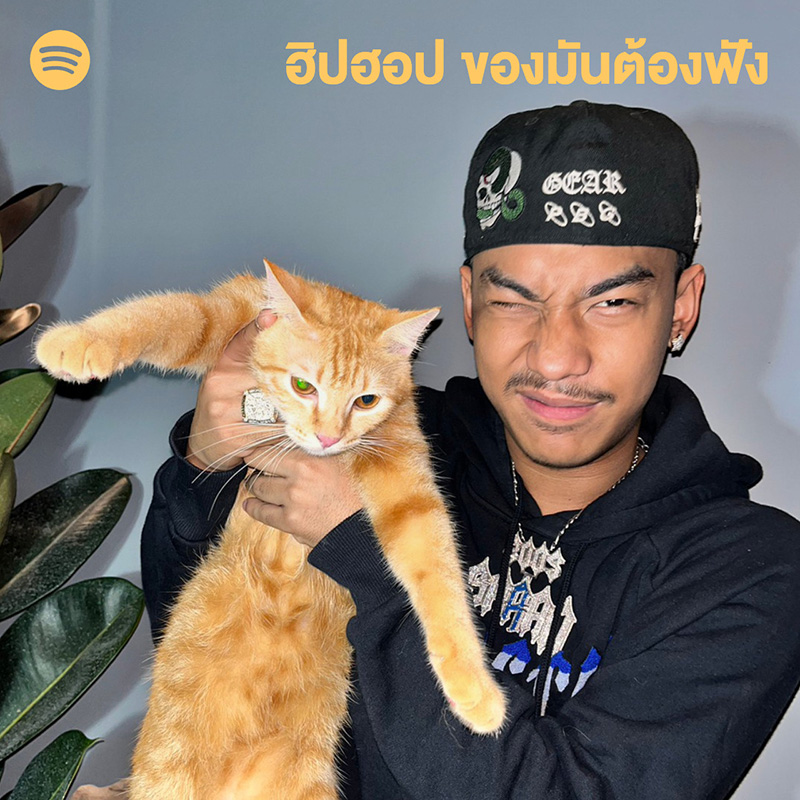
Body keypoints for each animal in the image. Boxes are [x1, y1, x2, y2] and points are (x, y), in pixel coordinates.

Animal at [35, 260, 506, 800]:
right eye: (303, 387)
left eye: (366, 400)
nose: (329, 437)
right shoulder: (228, 314)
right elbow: (167, 316)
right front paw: (75, 342)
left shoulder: (404, 476)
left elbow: (435, 569)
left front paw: (474, 687)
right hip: (168, 770)